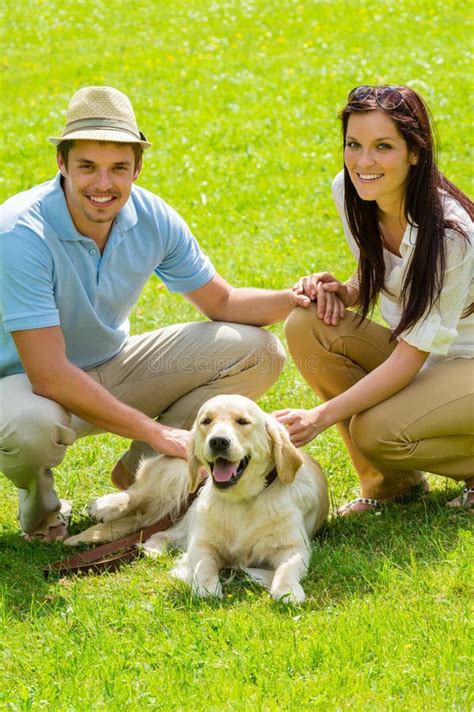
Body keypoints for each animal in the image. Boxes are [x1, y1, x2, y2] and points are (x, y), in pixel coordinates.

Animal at [65, 394, 328, 600]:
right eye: (206, 421)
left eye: (243, 421)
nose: (218, 441)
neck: (243, 500)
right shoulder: (203, 543)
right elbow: (204, 565)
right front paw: (206, 588)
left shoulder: (294, 547)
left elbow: (287, 568)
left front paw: (287, 590)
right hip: (177, 474)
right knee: (137, 494)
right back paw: (104, 506)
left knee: (159, 532)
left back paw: (153, 548)